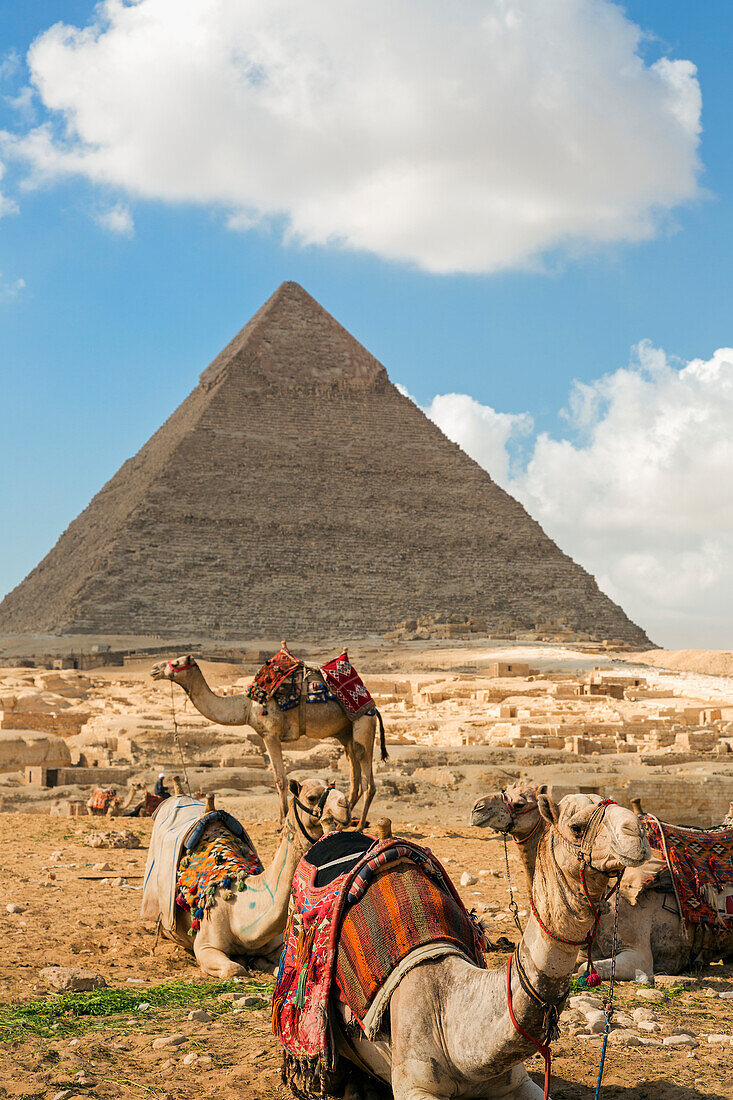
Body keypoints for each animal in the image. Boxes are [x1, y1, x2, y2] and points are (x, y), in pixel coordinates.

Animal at [150, 651, 385, 827]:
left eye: (176, 663)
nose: (154, 669)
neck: (246, 707)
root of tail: (372, 704)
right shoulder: (266, 735)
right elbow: (277, 778)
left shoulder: (270, 734)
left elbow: (280, 779)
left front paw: (281, 821)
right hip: (346, 733)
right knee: (354, 776)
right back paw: (343, 821)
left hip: (363, 723)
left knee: (367, 777)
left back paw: (360, 825)